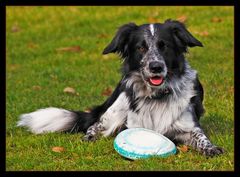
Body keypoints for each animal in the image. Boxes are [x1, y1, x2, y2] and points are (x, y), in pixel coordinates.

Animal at [17, 19, 224, 158]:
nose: (156, 67)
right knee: (95, 125)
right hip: (117, 106)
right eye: (141, 48)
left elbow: (202, 138)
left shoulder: (190, 127)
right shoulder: (134, 125)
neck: (157, 96)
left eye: (164, 46)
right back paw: (89, 137)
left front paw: (211, 148)